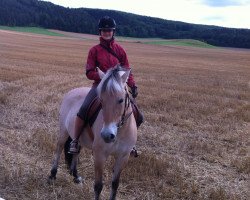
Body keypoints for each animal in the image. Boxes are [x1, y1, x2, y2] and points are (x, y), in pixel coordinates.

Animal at [47, 65, 137, 199]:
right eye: (101, 100)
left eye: (121, 100)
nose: (107, 135)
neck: (120, 132)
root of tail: (72, 91)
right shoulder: (99, 156)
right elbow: (98, 186)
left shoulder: (123, 157)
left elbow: (115, 184)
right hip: (63, 130)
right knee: (59, 148)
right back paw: (52, 175)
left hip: (78, 137)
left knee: (76, 151)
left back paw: (75, 176)